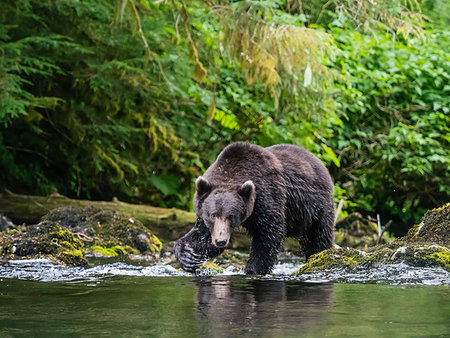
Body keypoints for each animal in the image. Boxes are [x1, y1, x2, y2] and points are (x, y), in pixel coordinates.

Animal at [174, 141, 336, 274]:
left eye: (231, 216)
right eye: (212, 214)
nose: (221, 240)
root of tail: (321, 163)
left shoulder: (267, 197)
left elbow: (268, 235)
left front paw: (253, 269)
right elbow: (202, 234)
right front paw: (188, 256)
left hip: (316, 207)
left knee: (319, 237)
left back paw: (320, 256)